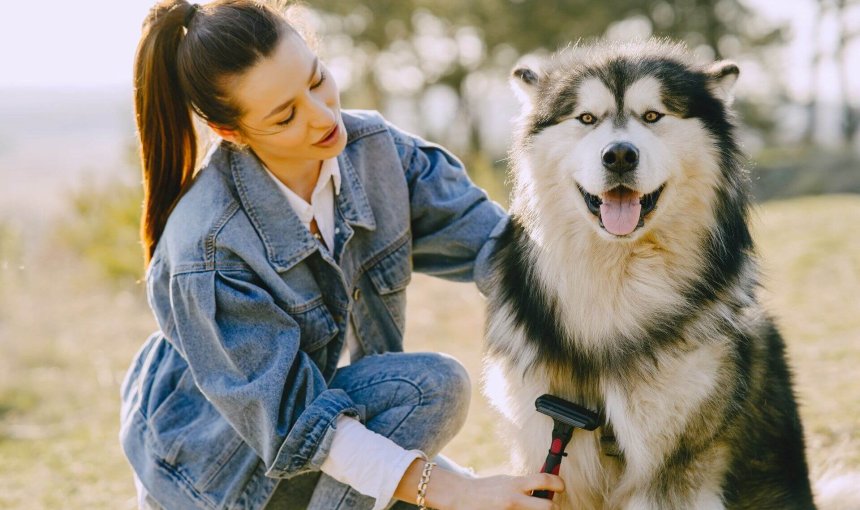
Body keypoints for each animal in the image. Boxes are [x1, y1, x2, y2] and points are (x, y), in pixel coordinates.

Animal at [484, 40, 820, 510]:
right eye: (586, 119)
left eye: (653, 116)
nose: (619, 155)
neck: (618, 280)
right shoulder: (547, 445)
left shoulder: (673, 468)